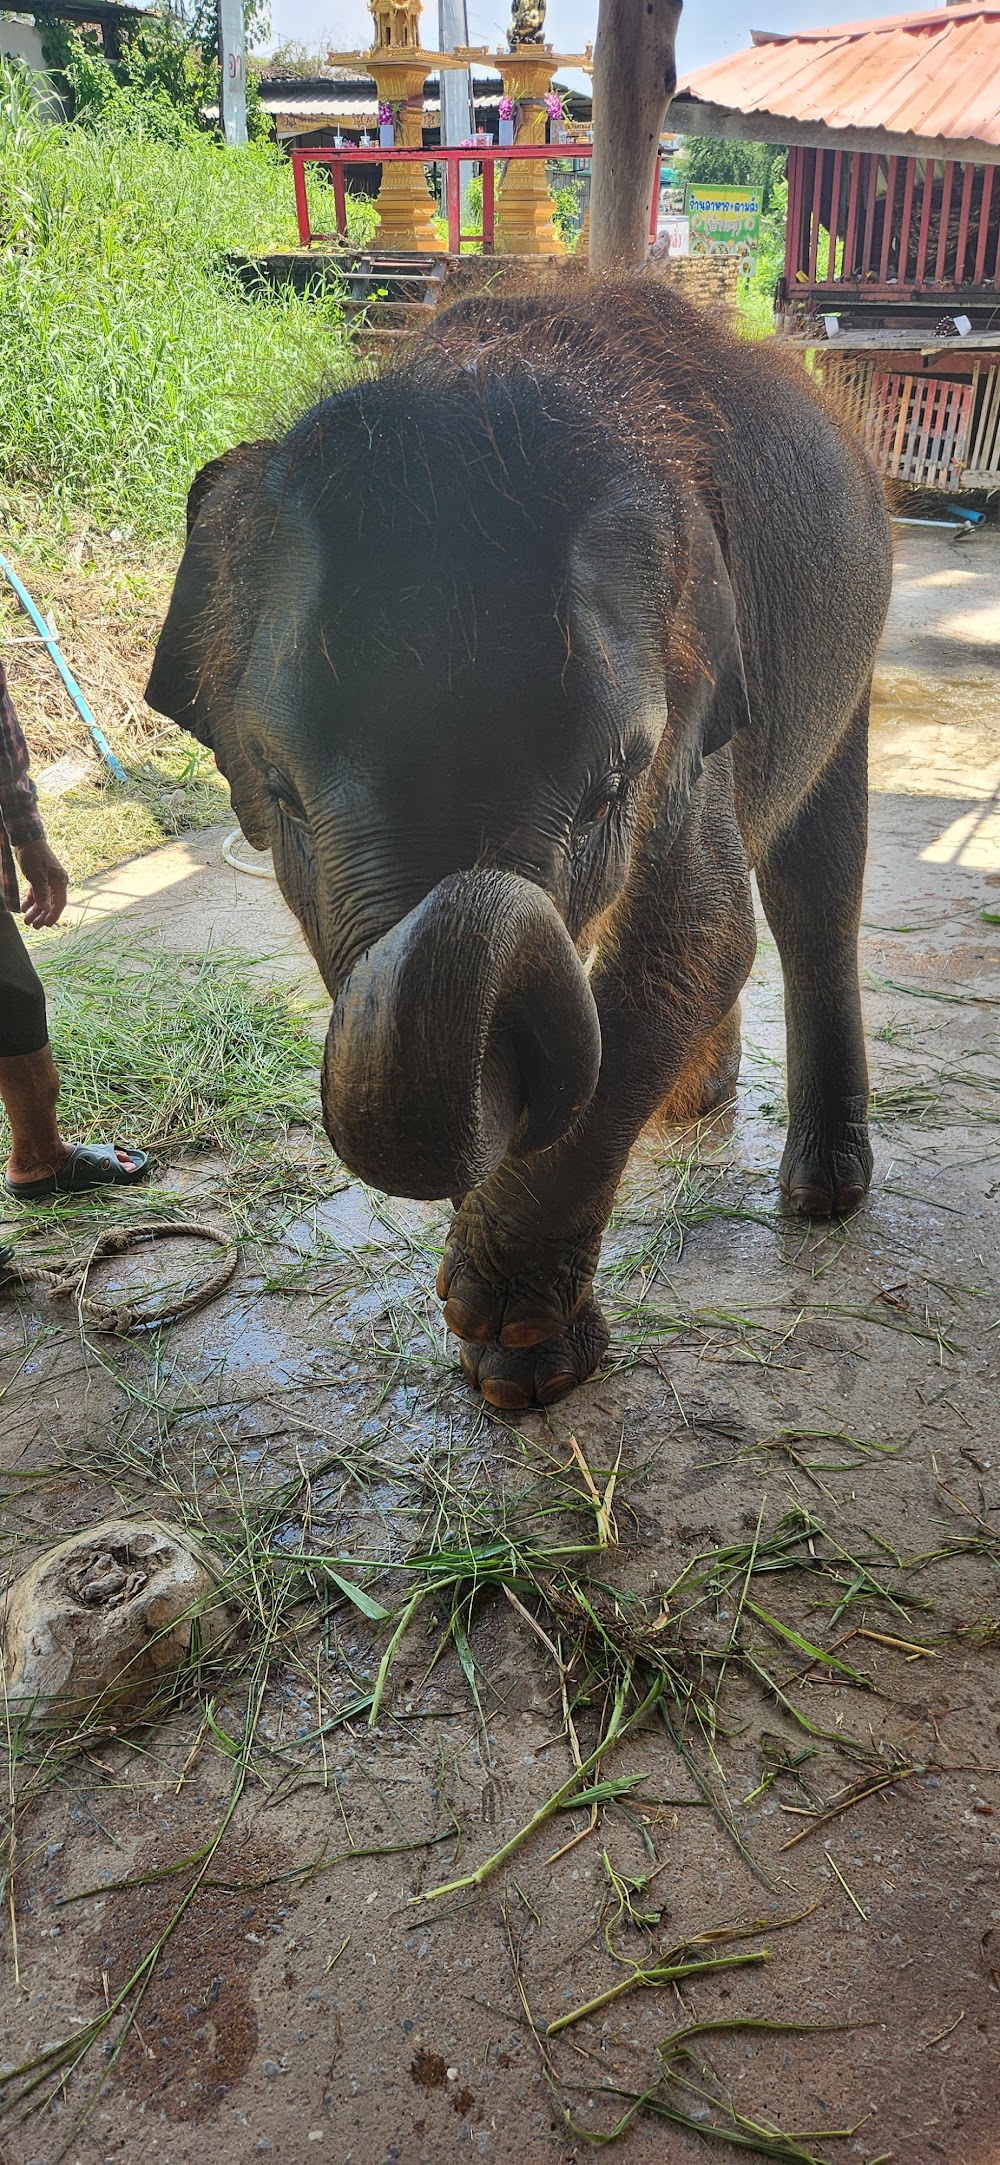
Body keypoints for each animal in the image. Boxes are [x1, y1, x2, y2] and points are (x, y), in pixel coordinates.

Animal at [148, 279, 891, 1411]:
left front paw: (512, 1344)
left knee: (815, 886)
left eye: (611, 787)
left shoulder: (702, 721)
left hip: (855, 644)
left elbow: (697, 937)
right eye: (279, 793)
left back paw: (822, 1191)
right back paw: (695, 1105)